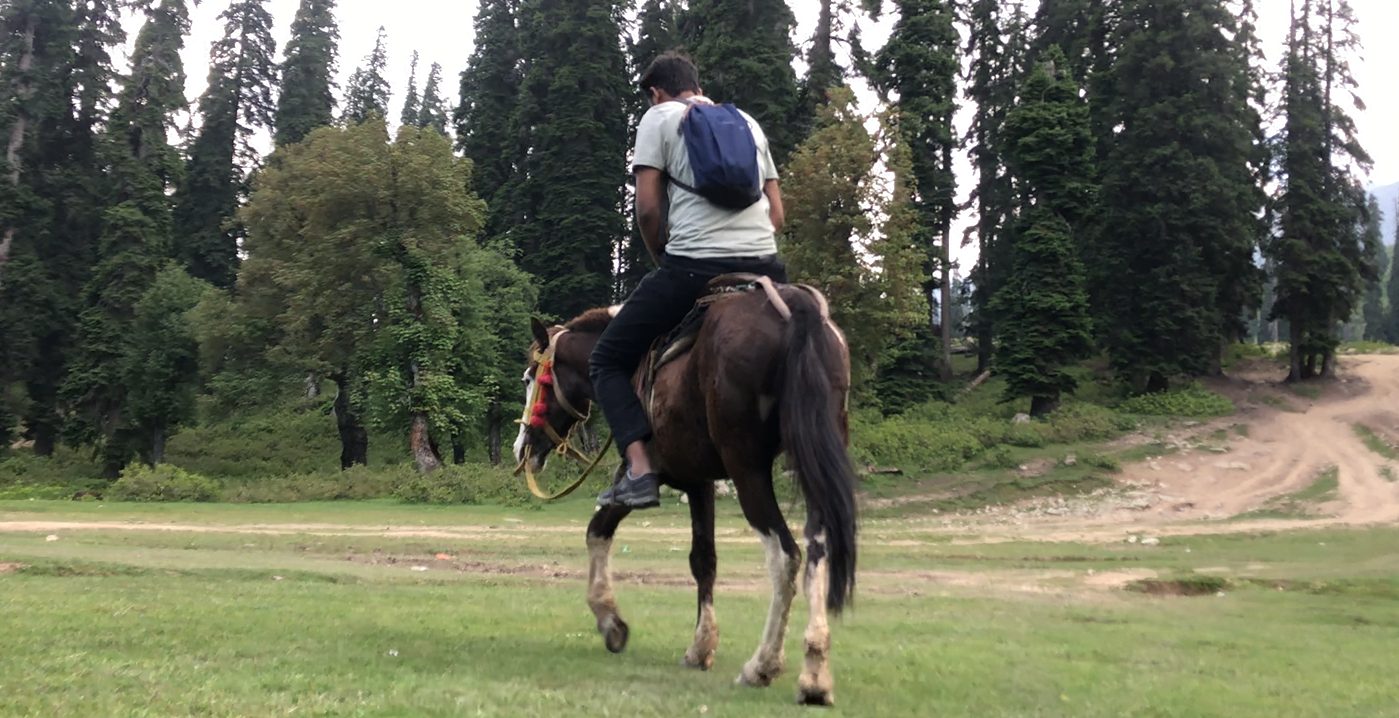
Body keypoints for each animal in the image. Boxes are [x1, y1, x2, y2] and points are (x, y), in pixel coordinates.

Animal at [509, 281, 856, 705]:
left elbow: (596, 531)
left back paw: (762, 665)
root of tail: (795, 309)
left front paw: (610, 620)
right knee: (817, 549)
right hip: (811, 461)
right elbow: (703, 560)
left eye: (529, 378)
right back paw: (814, 676)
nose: (522, 447)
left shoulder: (649, 476)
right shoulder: (699, 481)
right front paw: (701, 646)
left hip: (748, 470)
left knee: (785, 556)